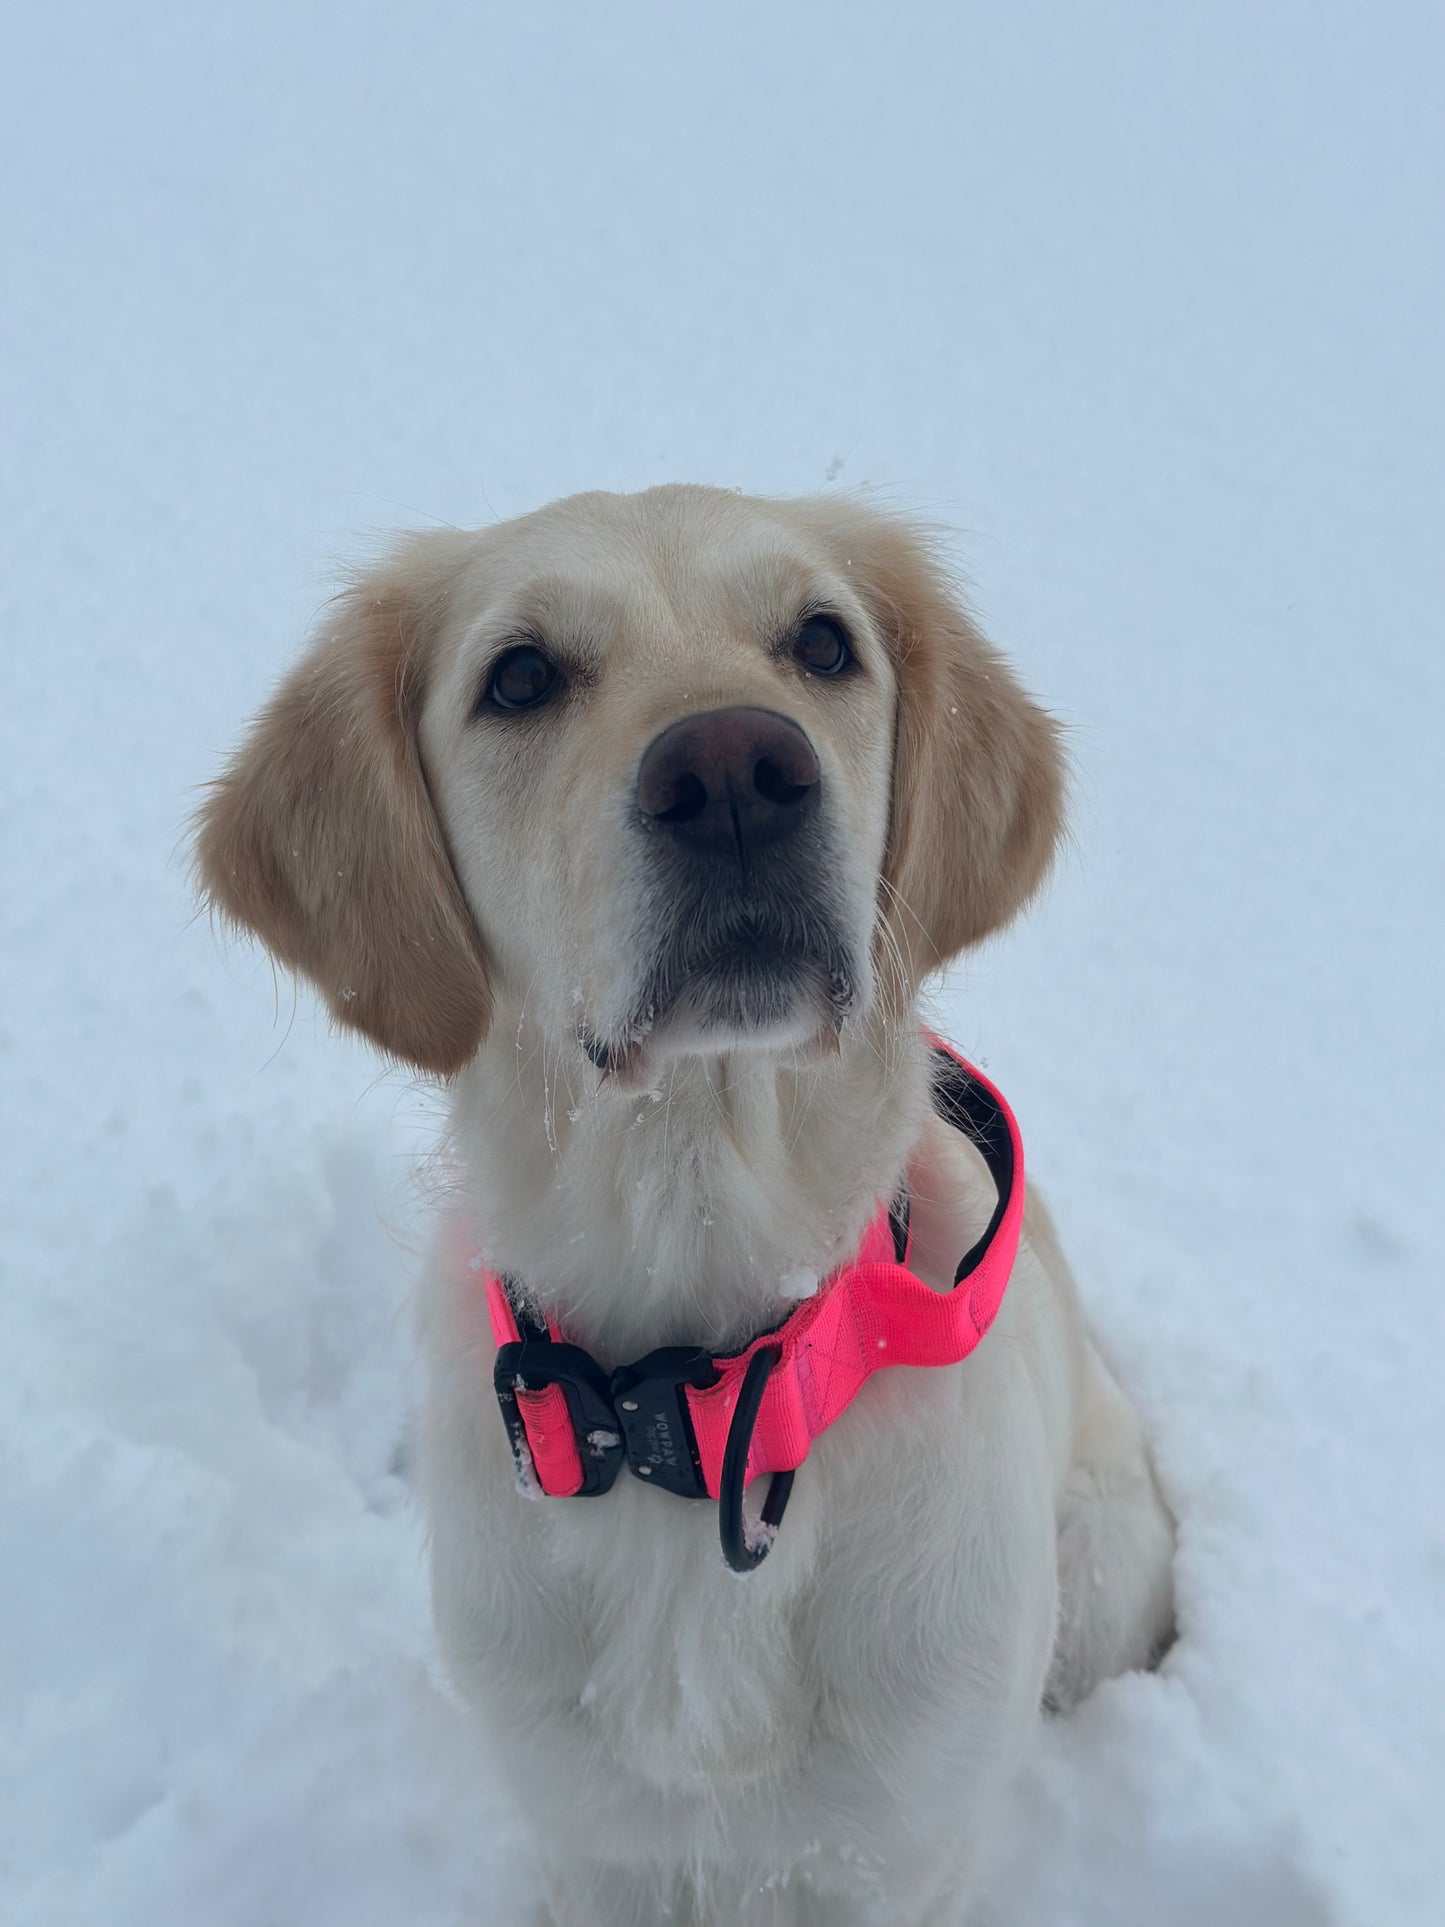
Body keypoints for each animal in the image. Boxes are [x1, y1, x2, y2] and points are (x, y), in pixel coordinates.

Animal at [195, 489, 1179, 1919]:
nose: (731, 774)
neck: (696, 1390)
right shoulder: (593, 1844)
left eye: (822, 644)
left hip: (1099, 1582)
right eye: (520, 676)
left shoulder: (898, 1851)